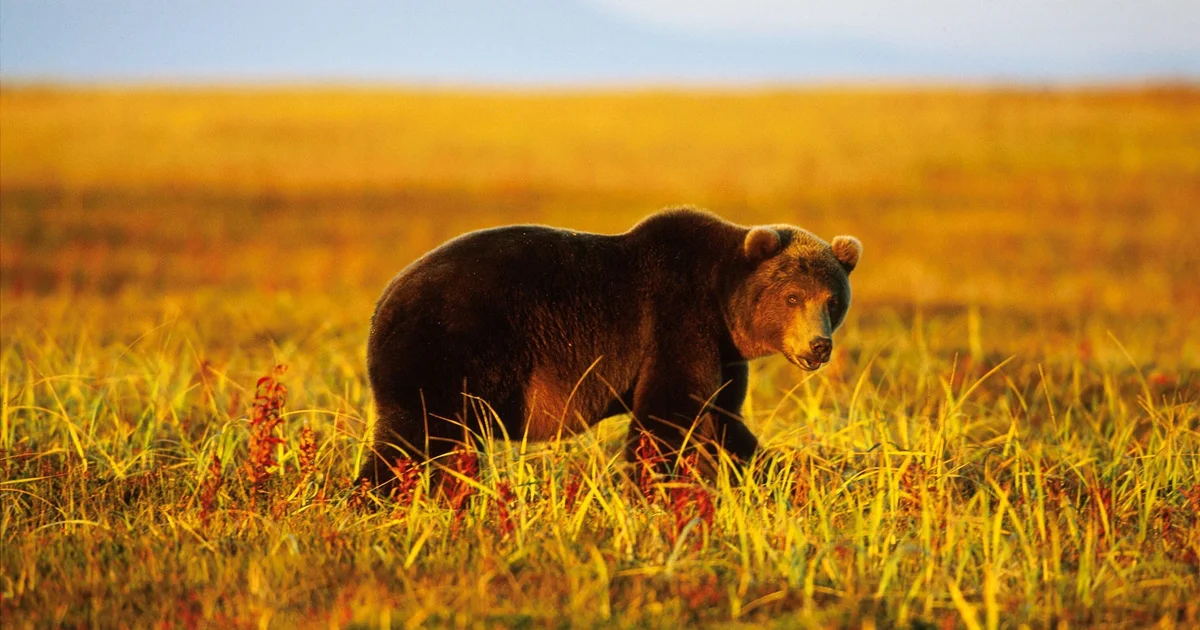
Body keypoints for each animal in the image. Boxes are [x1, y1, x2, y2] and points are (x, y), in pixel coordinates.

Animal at [359, 207, 861, 486]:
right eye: (793, 296)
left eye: (833, 300)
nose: (818, 346)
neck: (722, 304)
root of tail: (383, 299)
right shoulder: (676, 320)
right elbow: (667, 414)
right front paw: (652, 488)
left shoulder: (724, 354)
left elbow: (721, 420)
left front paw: (772, 475)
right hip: (445, 346)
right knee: (416, 434)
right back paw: (379, 496)